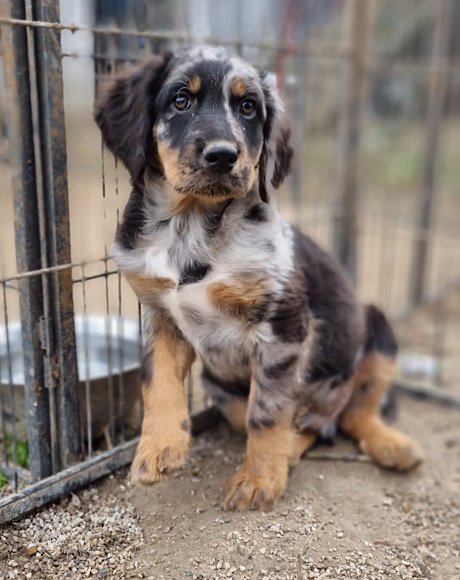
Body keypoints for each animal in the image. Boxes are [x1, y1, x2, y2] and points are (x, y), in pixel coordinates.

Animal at [95, 46, 423, 511]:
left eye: (248, 108)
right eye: (181, 100)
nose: (222, 155)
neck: (191, 227)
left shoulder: (281, 327)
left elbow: (266, 412)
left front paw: (258, 480)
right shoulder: (159, 315)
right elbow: (156, 380)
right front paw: (158, 449)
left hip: (376, 331)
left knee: (353, 411)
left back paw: (388, 444)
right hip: (218, 387)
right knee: (311, 422)